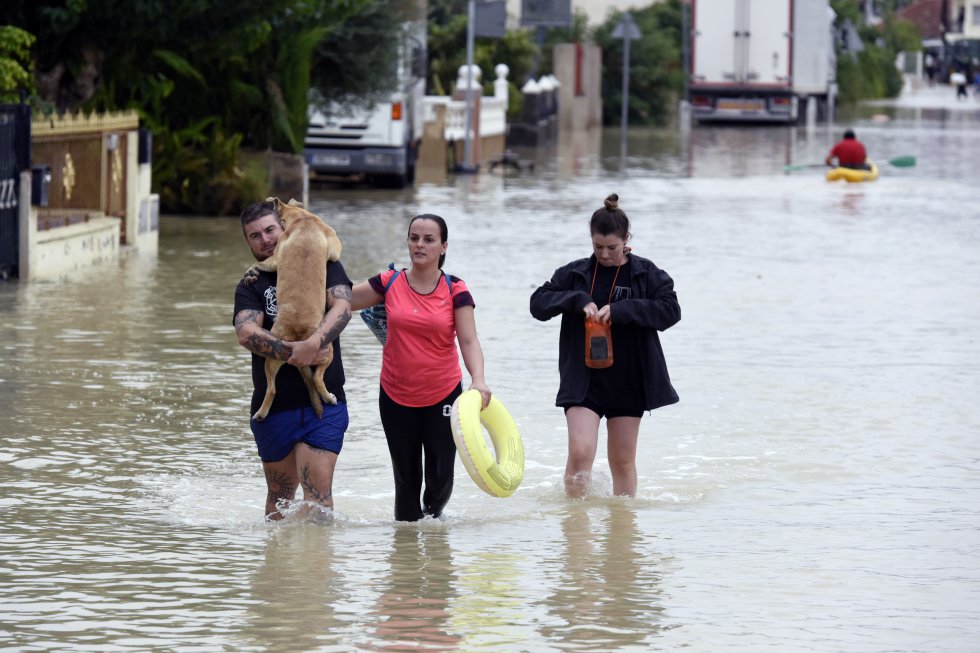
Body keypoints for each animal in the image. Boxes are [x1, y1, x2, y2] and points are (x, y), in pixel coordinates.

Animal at [249, 196, 344, 420]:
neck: (302, 219)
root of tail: (297, 334)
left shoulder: (274, 258)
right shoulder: (335, 246)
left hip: (271, 359)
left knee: (272, 389)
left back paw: (261, 413)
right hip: (326, 349)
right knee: (317, 378)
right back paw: (329, 398)